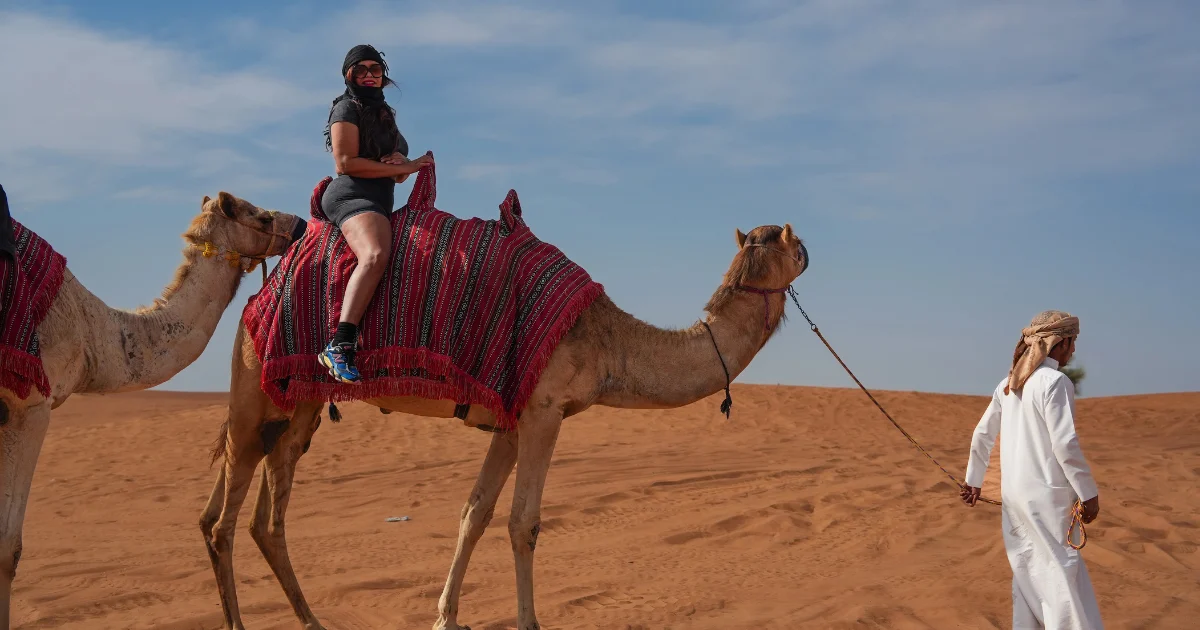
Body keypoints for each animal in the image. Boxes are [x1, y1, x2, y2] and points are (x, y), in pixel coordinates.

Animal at [203, 222, 810, 630]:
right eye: (789, 239)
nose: (809, 249)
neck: (610, 345)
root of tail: (259, 294)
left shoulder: (511, 421)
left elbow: (474, 512)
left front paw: (447, 617)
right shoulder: (543, 408)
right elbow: (524, 523)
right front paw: (529, 622)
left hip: (293, 406)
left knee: (258, 516)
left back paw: (312, 621)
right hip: (257, 389)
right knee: (223, 521)